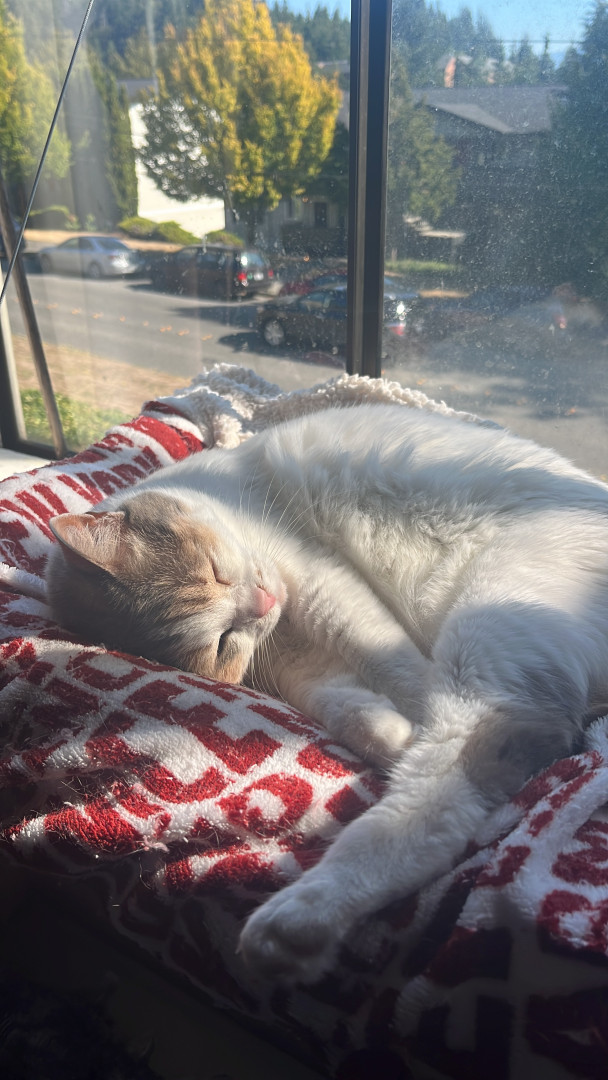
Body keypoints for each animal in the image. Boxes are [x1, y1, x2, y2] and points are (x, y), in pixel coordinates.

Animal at [46, 403, 608, 984]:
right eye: (221, 644)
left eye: (217, 573)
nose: (263, 601)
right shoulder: (297, 666)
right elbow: (343, 704)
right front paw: (391, 735)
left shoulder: (320, 585)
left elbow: (394, 666)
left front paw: (406, 719)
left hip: (487, 632)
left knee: (451, 777)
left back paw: (295, 921)